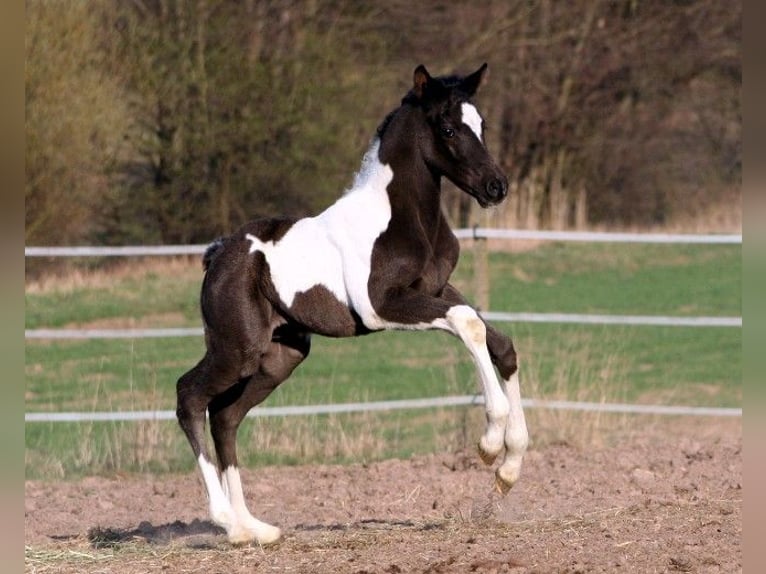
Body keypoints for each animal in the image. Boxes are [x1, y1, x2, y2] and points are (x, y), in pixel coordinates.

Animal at [176, 63, 529, 545]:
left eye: (482, 125)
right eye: (448, 128)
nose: (496, 187)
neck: (400, 217)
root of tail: (216, 255)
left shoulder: (437, 289)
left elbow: (498, 342)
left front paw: (509, 469)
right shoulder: (383, 305)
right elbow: (468, 324)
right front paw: (491, 445)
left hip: (280, 357)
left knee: (226, 417)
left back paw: (254, 528)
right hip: (235, 351)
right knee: (190, 397)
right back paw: (228, 522)